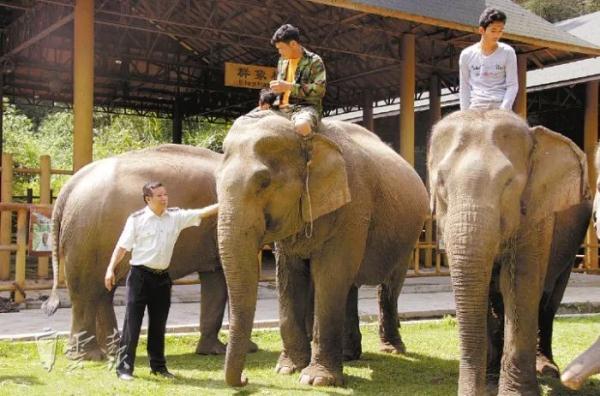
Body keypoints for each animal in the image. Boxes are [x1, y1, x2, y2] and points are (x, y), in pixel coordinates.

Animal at [41, 145, 248, 358]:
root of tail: (69, 187)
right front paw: (246, 350)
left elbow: (217, 278)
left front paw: (214, 351)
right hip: (87, 238)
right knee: (87, 291)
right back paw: (91, 357)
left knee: (103, 290)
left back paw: (113, 351)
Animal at [213, 110, 428, 386]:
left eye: (263, 182)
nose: (246, 379)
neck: (308, 140)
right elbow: (289, 277)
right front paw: (287, 369)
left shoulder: (353, 206)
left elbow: (330, 274)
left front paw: (316, 380)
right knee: (350, 285)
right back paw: (349, 355)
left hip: (410, 233)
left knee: (389, 285)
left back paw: (392, 350)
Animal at [426, 109, 592, 396]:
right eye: (441, 185)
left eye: (509, 183)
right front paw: (491, 384)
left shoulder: (536, 215)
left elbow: (519, 284)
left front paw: (517, 393)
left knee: (549, 299)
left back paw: (547, 369)